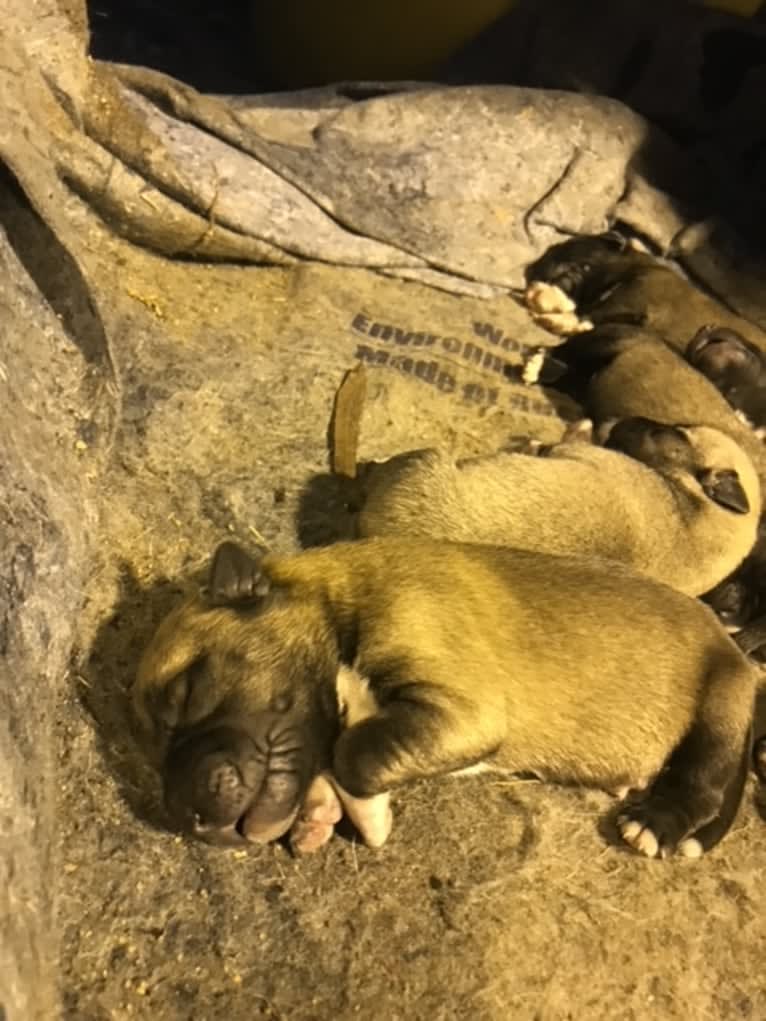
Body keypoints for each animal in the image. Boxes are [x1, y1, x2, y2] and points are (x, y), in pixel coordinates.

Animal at [134, 539, 759, 857]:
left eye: (185, 693)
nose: (186, 818)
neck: (337, 591)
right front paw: (322, 809)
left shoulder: (465, 708)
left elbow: (352, 751)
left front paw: (351, 801)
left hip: (721, 703)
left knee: (703, 782)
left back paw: (657, 820)